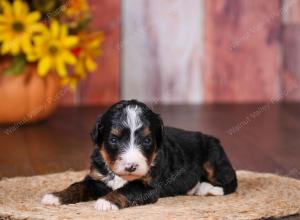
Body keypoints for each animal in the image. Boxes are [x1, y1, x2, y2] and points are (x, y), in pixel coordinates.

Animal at [41, 99, 237, 211]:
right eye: (114, 139)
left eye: (147, 141)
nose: (131, 166)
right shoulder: (97, 178)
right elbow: (78, 186)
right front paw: (55, 196)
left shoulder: (148, 186)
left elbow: (127, 190)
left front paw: (106, 202)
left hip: (213, 157)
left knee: (230, 181)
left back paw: (206, 189)